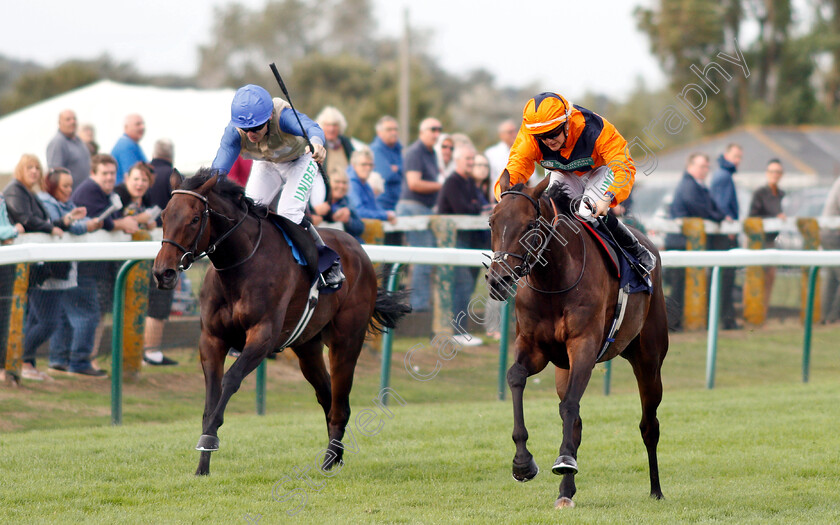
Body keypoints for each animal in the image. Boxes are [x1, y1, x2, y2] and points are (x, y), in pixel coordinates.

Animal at [156, 170, 412, 476]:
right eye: (164, 216)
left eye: (195, 219)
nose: (163, 272)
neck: (240, 266)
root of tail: (358, 250)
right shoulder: (212, 339)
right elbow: (211, 397)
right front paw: (202, 465)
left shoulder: (262, 336)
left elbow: (231, 380)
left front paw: (209, 440)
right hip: (307, 347)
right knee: (327, 396)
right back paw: (336, 455)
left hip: (347, 340)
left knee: (340, 403)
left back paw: (329, 461)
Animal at [486, 175, 668, 508]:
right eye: (492, 222)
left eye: (529, 225)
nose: (498, 281)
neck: (553, 282)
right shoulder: (534, 347)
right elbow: (516, 377)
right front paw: (523, 464)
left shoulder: (584, 345)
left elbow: (570, 404)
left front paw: (563, 461)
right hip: (564, 368)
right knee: (576, 423)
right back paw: (565, 491)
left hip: (649, 360)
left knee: (649, 425)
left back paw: (656, 490)